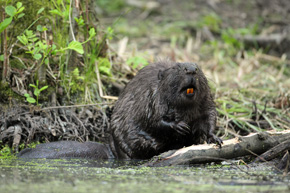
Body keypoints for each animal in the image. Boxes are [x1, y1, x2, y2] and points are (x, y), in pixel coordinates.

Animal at [18, 60, 222, 160]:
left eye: (199, 67)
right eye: (176, 67)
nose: (191, 69)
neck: (184, 107)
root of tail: (110, 149)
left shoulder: (206, 102)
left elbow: (210, 117)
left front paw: (216, 139)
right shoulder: (152, 98)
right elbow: (154, 119)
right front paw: (180, 126)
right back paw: (155, 145)